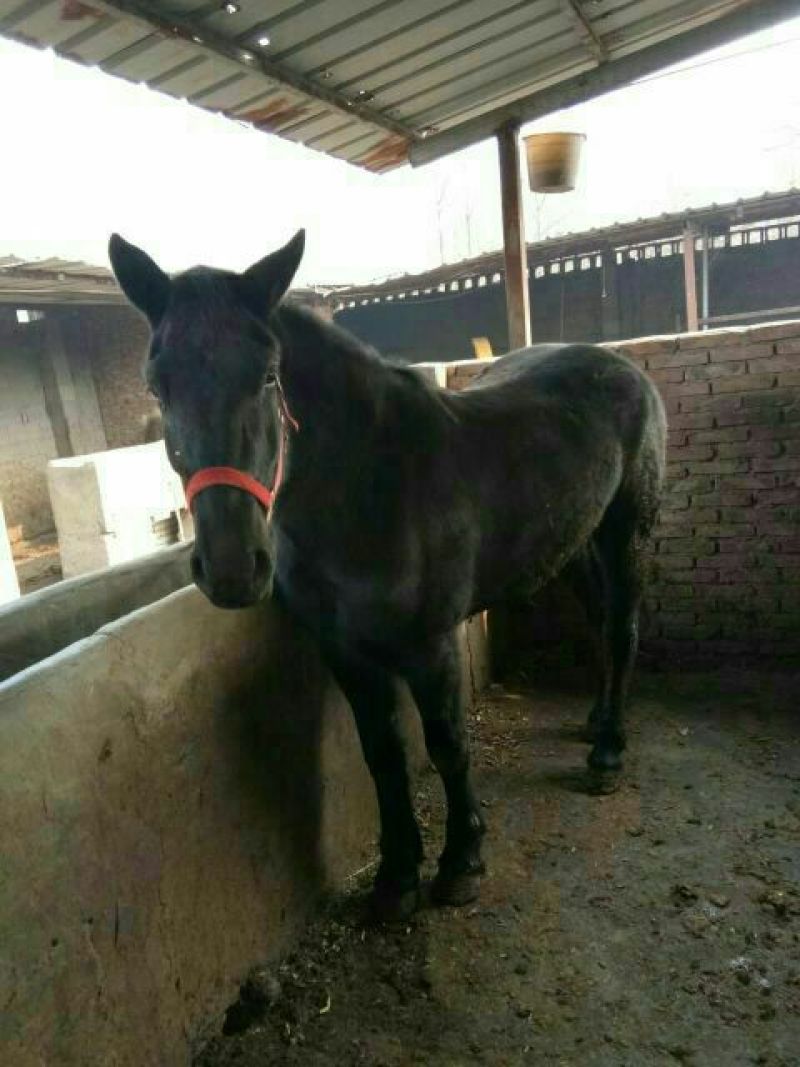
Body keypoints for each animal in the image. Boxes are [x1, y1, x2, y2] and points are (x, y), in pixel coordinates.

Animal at [109, 230, 666, 921]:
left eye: (268, 375)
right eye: (157, 387)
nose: (233, 568)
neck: (370, 485)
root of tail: (622, 367)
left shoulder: (432, 647)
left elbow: (447, 745)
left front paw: (460, 864)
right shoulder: (344, 653)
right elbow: (383, 753)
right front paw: (397, 876)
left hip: (626, 529)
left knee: (621, 628)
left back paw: (608, 750)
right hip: (572, 539)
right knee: (597, 620)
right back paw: (593, 719)